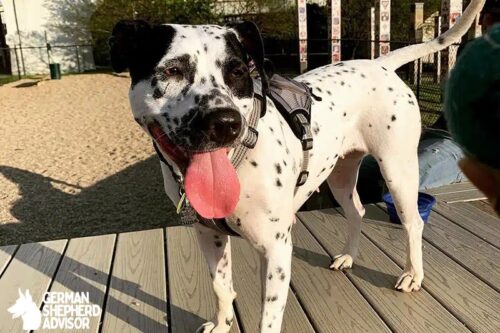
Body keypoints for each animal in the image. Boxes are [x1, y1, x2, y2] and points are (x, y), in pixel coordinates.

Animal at [111, 1, 486, 330]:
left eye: (237, 72)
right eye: (172, 70)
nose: (225, 122)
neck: (239, 160)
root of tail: (379, 63)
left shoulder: (275, 249)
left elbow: (268, 317)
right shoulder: (209, 236)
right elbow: (221, 288)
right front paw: (221, 324)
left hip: (397, 172)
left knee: (412, 225)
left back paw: (412, 275)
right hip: (340, 177)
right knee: (357, 212)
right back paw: (348, 256)